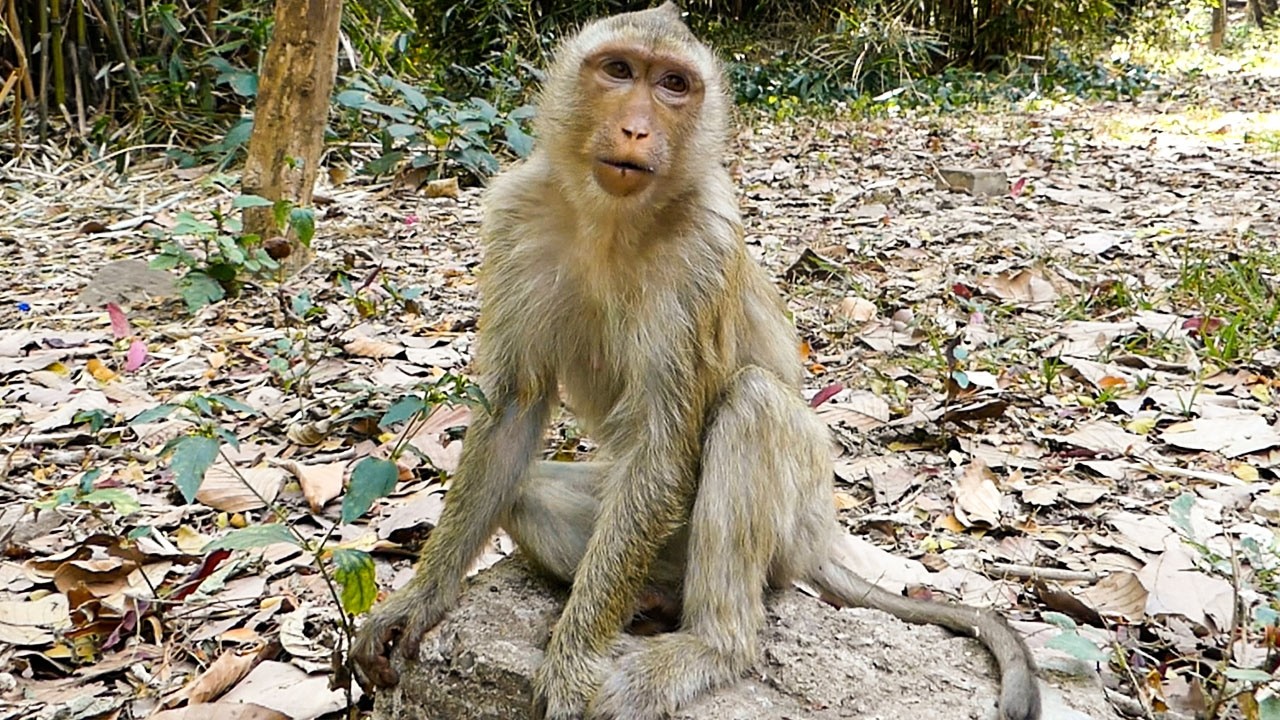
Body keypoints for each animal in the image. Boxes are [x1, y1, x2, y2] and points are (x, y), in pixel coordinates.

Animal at [350, 4, 1042, 720]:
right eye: (619, 70)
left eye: (673, 85)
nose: (636, 127)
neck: (611, 220)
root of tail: (823, 534)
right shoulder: (516, 218)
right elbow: (513, 409)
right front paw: (418, 601)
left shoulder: (704, 249)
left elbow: (663, 444)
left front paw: (572, 663)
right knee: (528, 491)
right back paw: (651, 600)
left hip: (789, 529)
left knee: (753, 403)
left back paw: (712, 644)